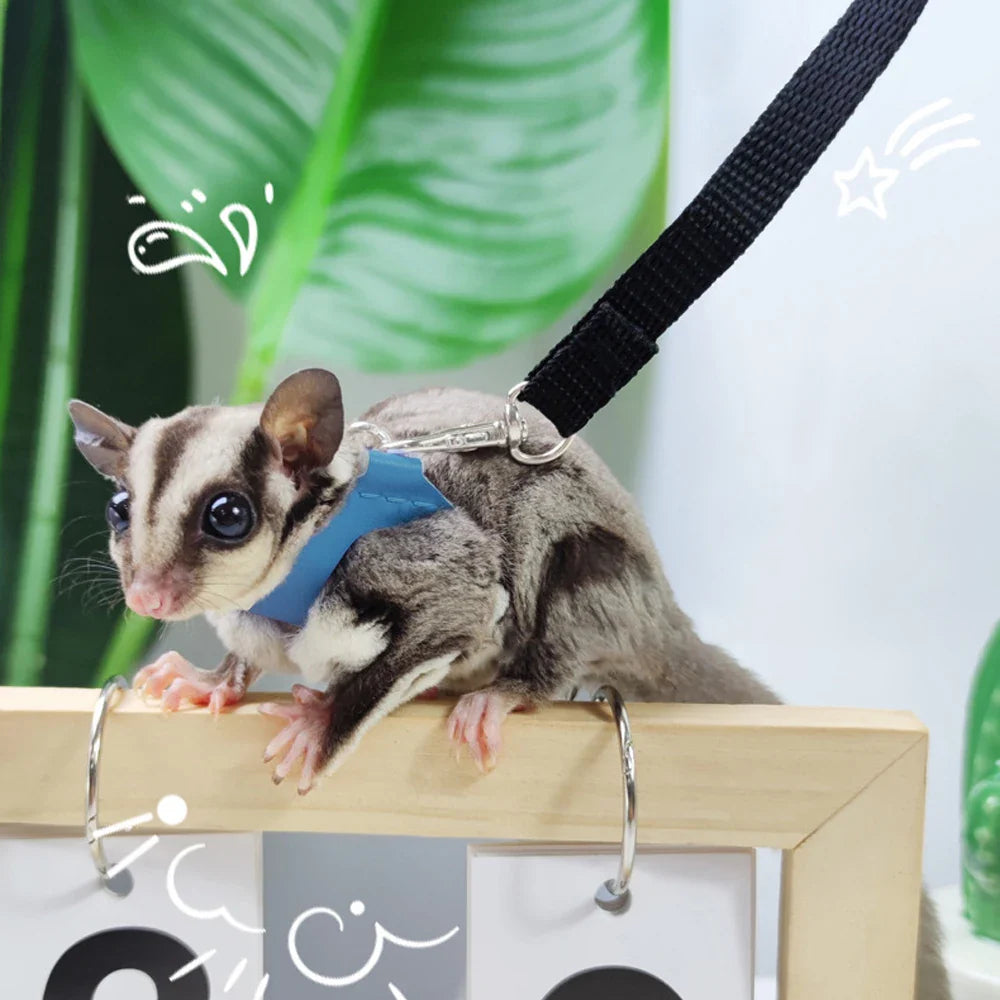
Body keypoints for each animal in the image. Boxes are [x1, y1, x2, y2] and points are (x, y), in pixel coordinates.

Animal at [69, 367, 950, 1000]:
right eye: (119, 508)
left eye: (228, 515)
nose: (148, 597)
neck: (295, 574)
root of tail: (663, 614)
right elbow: (245, 655)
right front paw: (209, 682)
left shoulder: (425, 569)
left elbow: (452, 620)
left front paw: (322, 728)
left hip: (594, 582)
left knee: (556, 586)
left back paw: (499, 691)